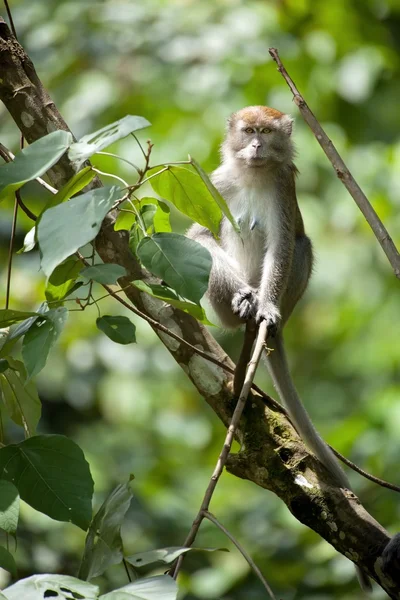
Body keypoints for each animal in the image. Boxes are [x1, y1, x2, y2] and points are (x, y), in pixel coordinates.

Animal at [188, 106, 372, 592]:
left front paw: (265, 304)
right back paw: (244, 305)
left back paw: (267, 321)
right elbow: (197, 234)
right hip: (215, 310)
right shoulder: (218, 180)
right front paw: (247, 296)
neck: (254, 175)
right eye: (249, 131)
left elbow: (283, 245)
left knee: (301, 245)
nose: (254, 146)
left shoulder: (284, 188)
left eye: (267, 133)